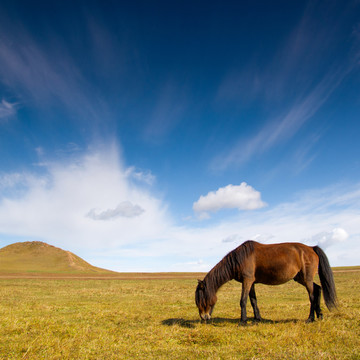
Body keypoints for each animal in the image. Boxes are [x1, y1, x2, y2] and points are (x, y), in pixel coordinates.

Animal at [195, 242, 336, 324]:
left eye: (201, 300)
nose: (204, 317)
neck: (239, 259)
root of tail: (312, 248)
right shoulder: (251, 282)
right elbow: (253, 300)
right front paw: (257, 319)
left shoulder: (247, 281)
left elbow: (243, 301)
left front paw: (243, 321)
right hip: (301, 278)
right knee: (318, 289)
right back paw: (319, 315)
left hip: (306, 279)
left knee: (312, 296)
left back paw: (310, 318)